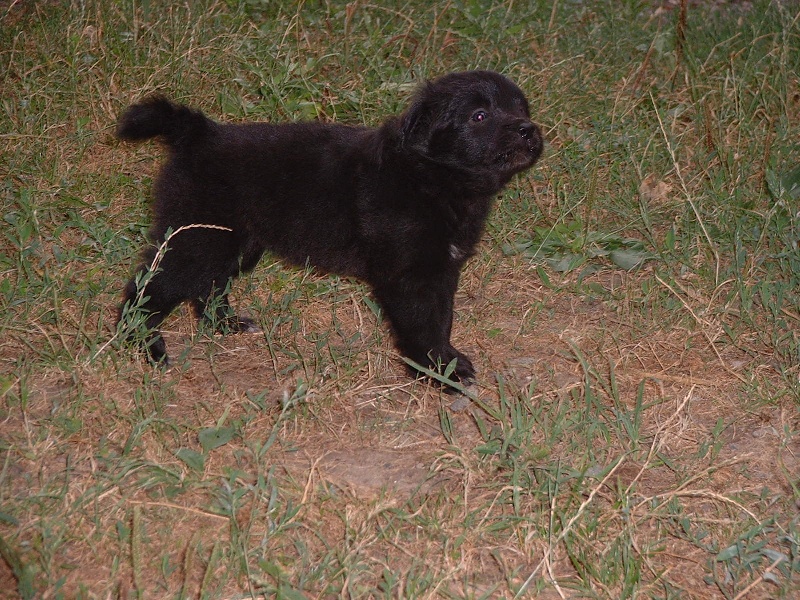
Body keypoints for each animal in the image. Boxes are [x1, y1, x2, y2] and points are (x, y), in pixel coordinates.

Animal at [117, 71, 544, 384]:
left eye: (521, 107)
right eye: (479, 116)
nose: (529, 129)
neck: (431, 175)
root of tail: (200, 133)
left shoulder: (443, 268)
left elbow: (443, 317)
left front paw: (444, 363)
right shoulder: (412, 275)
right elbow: (425, 322)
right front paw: (440, 371)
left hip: (235, 243)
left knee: (208, 286)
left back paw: (227, 324)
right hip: (197, 238)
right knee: (149, 289)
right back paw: (146, 346)